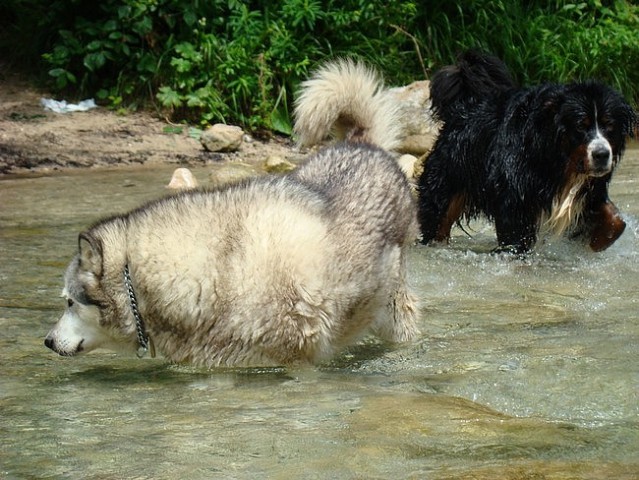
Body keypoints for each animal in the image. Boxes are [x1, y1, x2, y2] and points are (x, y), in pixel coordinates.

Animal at [42, 60, 418, 368]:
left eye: (70, 303)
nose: (47, 341)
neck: (216, 267)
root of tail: (362, 145)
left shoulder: (293, 358)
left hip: (392, 311)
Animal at [420, 50, 636, 253]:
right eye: (580, 126)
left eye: (609, 126)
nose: (602, 155)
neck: (559, 160)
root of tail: (462, 108)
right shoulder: (516, 194)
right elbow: (516, 237)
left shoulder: (590, 188)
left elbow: (616, 219)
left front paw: (596, 241)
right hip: (445, 184)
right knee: (436, 222)